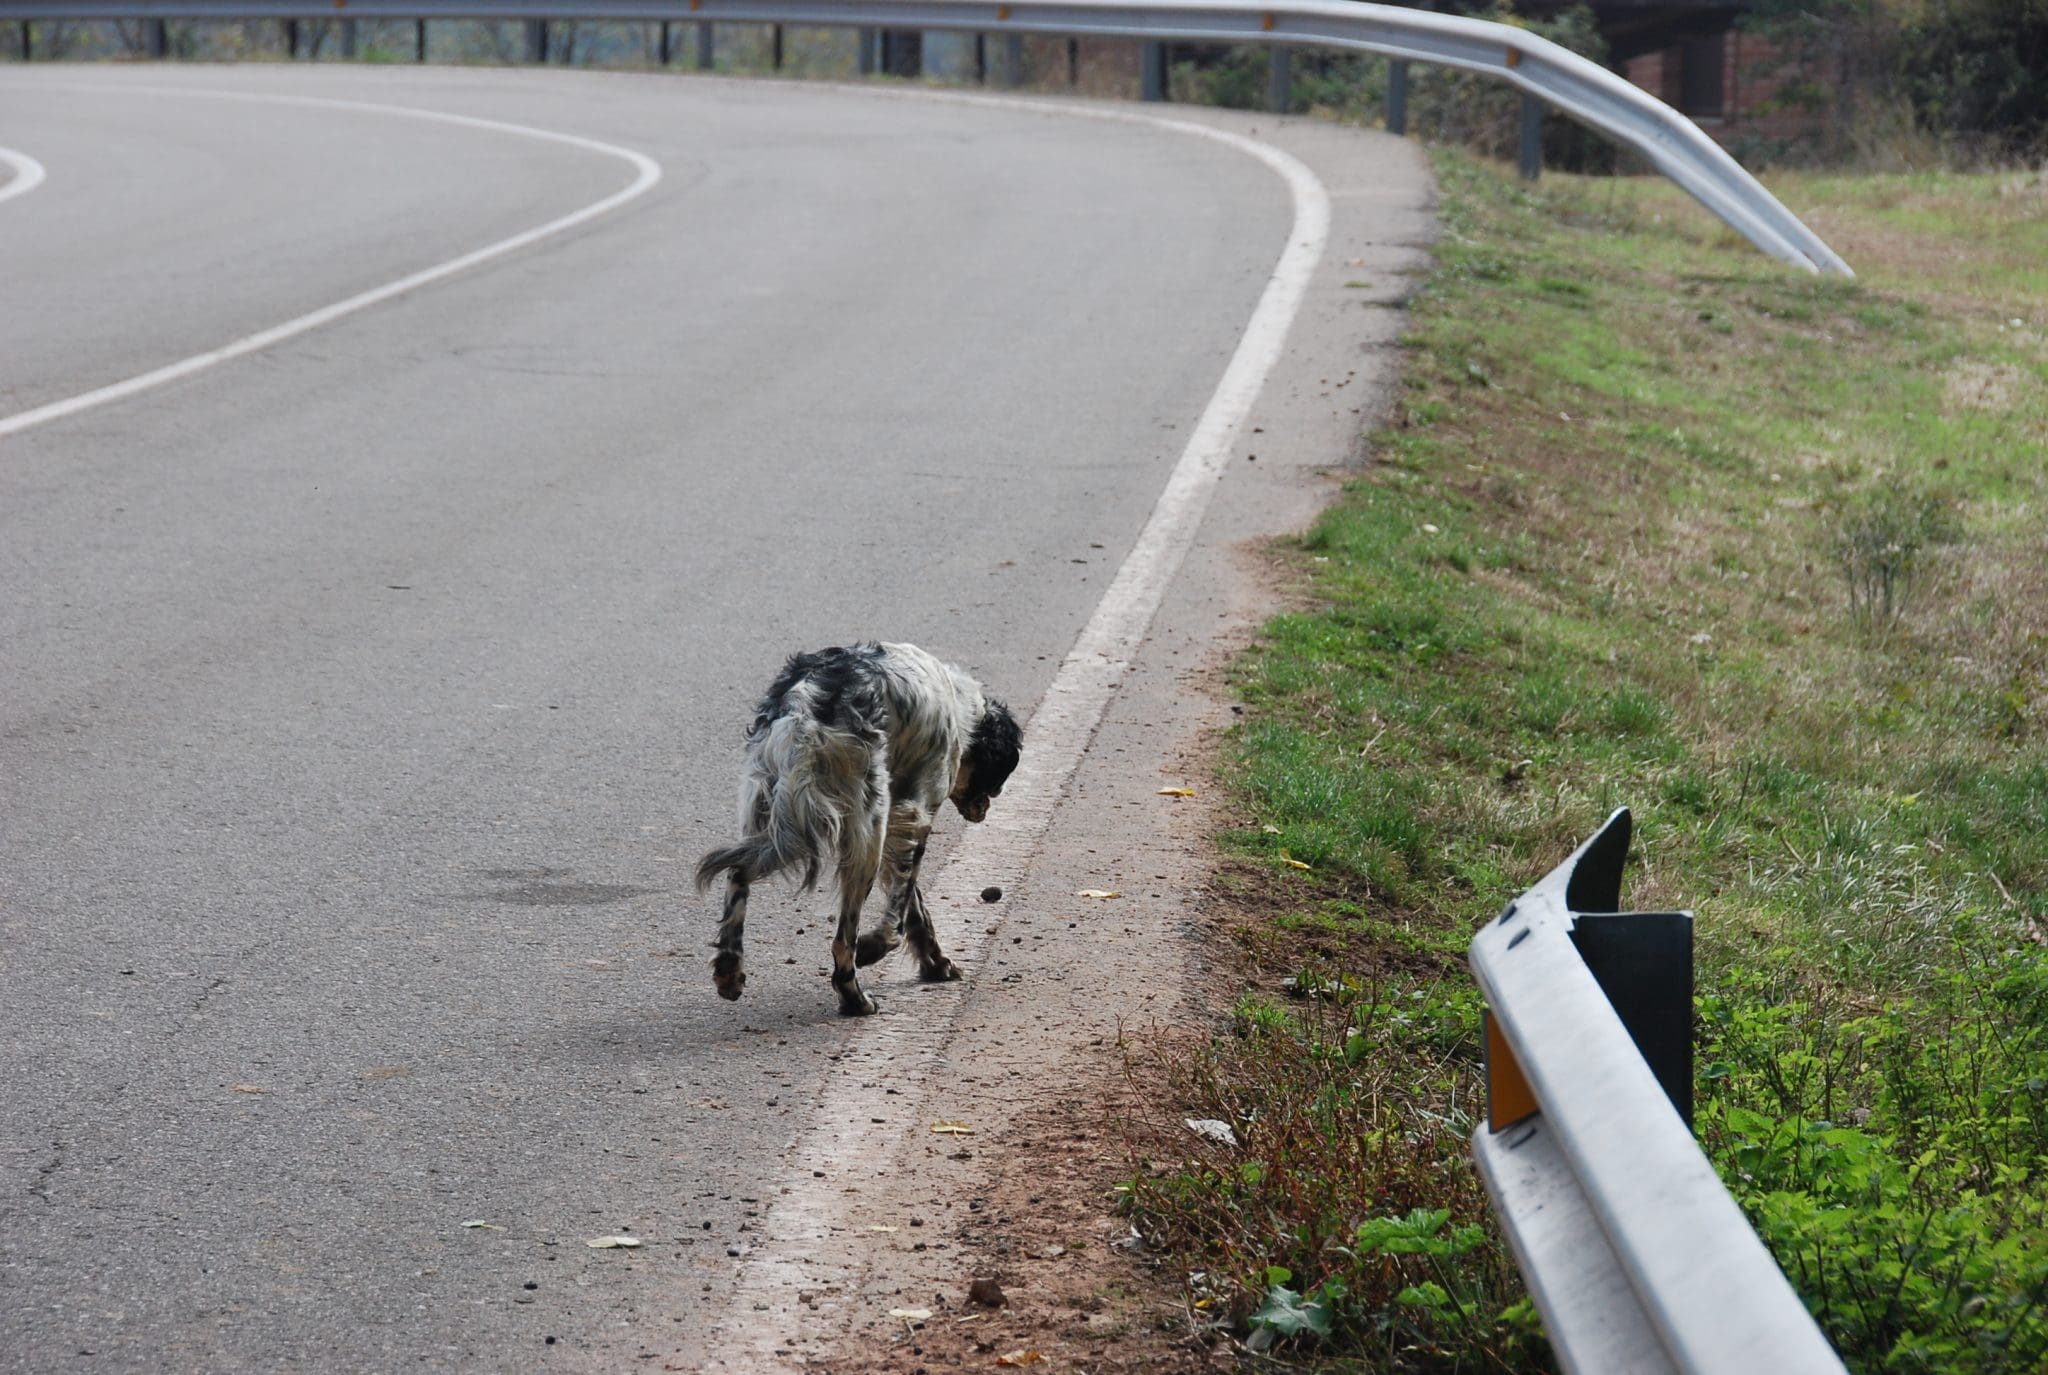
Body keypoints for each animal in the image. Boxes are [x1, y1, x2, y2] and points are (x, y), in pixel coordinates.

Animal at [696, 639, 1024, 1016]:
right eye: (1000, 773)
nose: (992, 802)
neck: (959, 704)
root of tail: (804, 705)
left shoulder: (898, 818)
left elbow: (915, 908)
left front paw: (936, 963)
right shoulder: (914, 814)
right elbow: (900, 911)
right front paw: (878, 948)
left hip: (764, 807)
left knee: (737, 875)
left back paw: (729, 971)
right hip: (866, 832)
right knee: (842, 940)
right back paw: (855, 996)